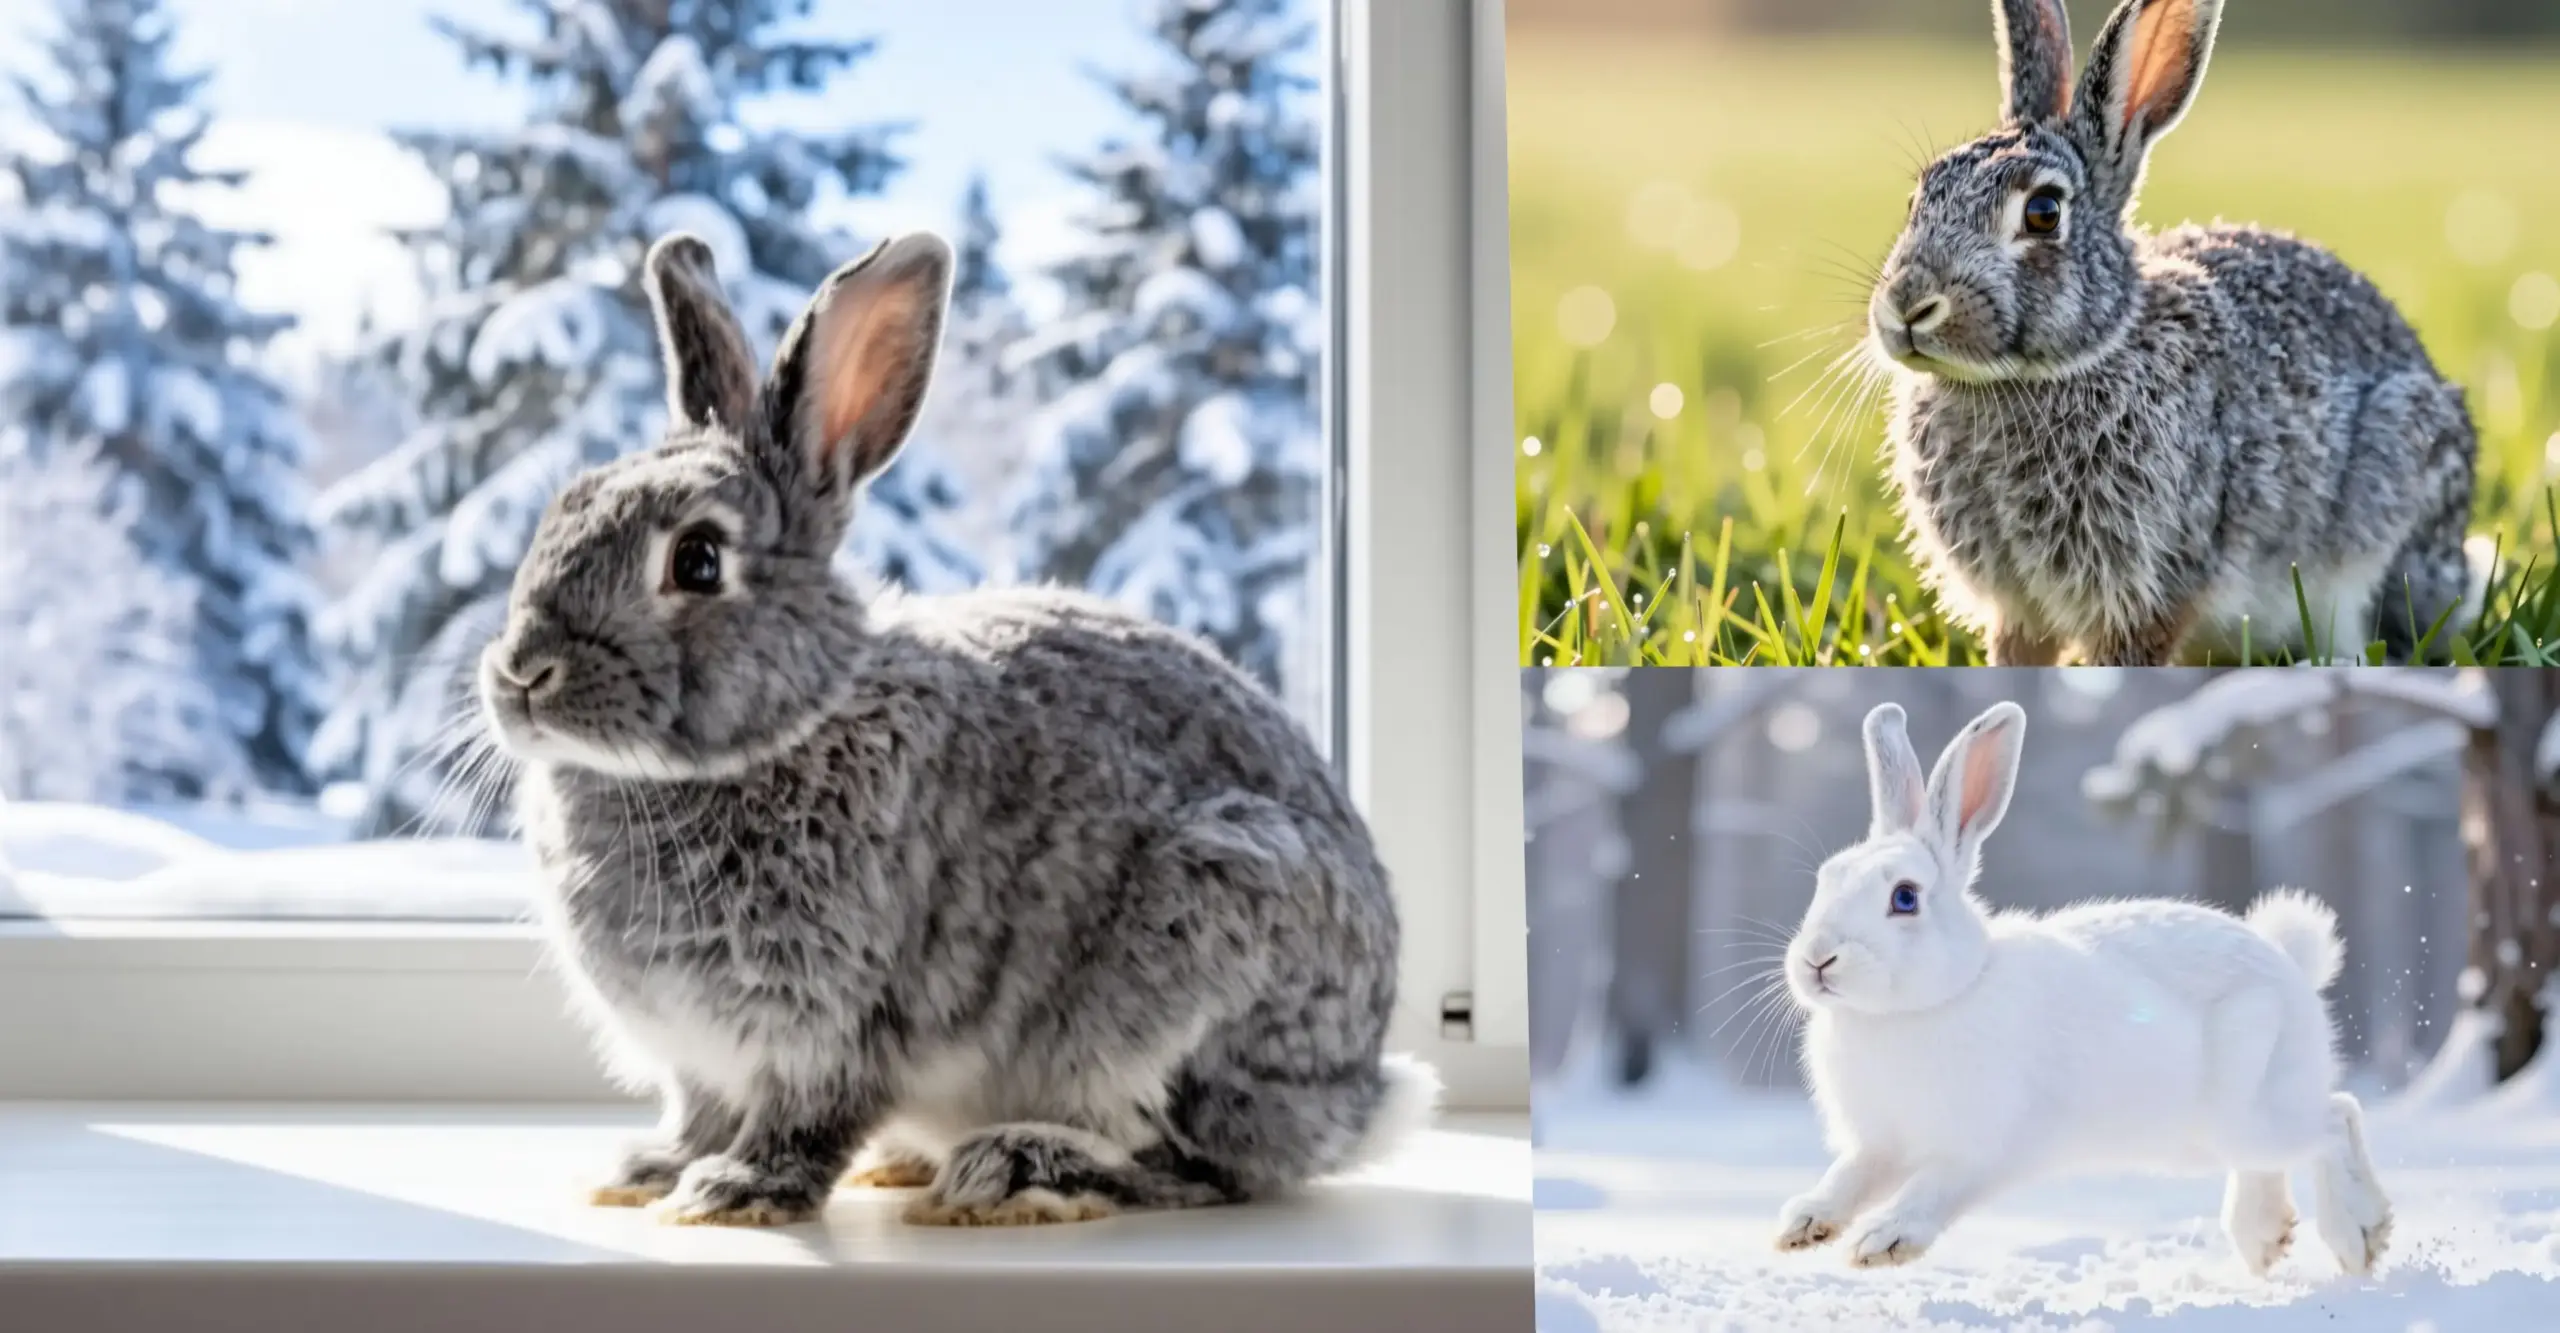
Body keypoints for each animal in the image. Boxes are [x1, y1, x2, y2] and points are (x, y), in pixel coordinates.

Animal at [476, 229, 1435, 1229]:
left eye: (697, 560)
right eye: (561, 510)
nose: (521, 673)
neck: (783, 731)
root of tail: (1354, 1097)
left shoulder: (837, 1024)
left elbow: (803, 1119)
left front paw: (734, 1192)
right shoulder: (699, 1059)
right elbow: (697, 1112)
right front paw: (649, 1170)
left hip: (1204, 944)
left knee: (1193, 1162)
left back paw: (1014, 1169)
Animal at [1773, 700, 2392, 1276]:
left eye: (1905, 897)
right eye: (1825, 880)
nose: (1816, 959)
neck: (1917, 1006)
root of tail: (2290, 965)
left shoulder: (1983, 1147)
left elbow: (1933, 1188)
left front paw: (1883, 1241)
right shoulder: (1881, 1145)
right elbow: (1849, 1177)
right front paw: (1804, 1225)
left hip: (2254, 1113)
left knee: (2336, 1118)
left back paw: (2358, 1236)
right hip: (2205, 1138)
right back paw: (2263, 1237)